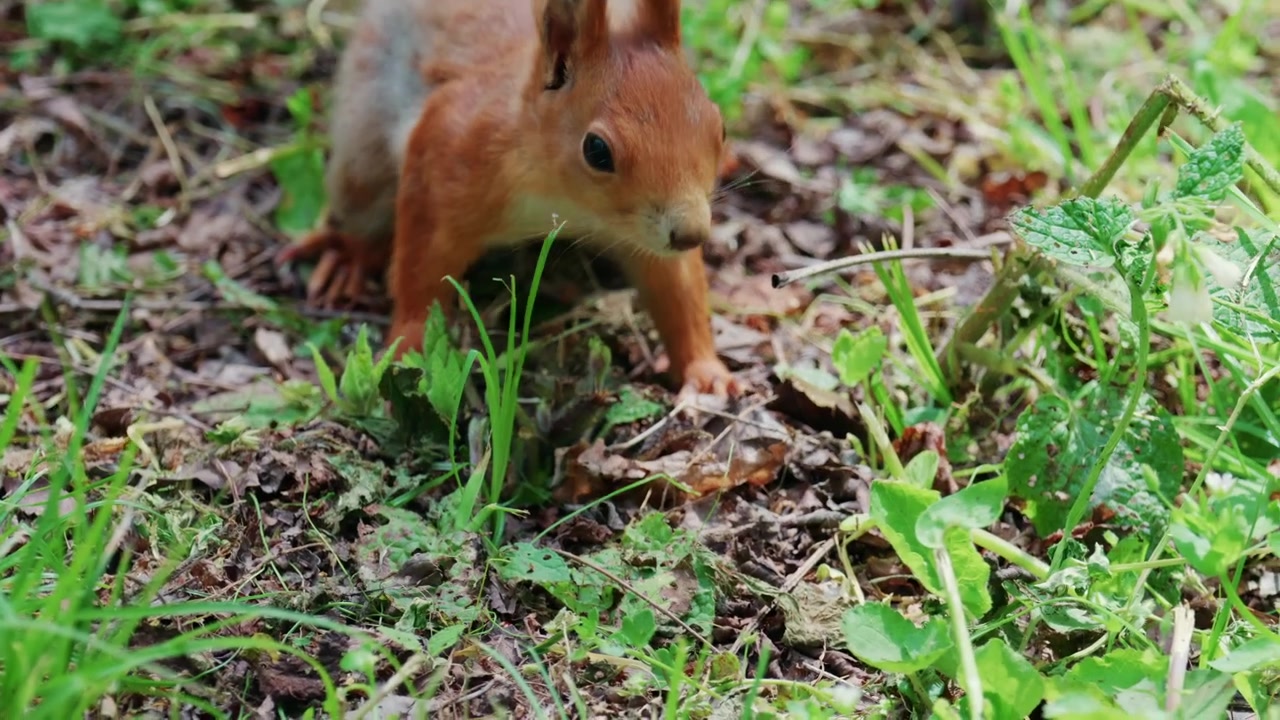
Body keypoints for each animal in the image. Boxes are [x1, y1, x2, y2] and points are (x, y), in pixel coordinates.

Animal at [277, 0, 741, 398]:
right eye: (597, 150)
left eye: (719, 127)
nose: (691, 233)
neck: (565, 200)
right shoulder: (445, 155)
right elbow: (419, 272)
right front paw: (409, 345)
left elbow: (678, 291)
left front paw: (706, 370)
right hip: (365, 139)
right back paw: (349, 255)